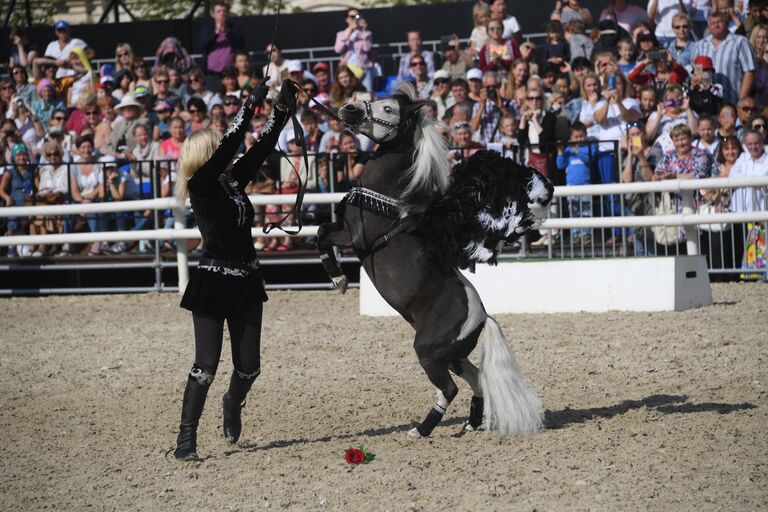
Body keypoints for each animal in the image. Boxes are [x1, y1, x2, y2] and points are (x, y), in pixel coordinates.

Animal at [316, 83, 556, 436]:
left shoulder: (356, 239)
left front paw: (339, 279)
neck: (387, 200)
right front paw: (338, 278)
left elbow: (321, 233)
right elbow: (321, 229)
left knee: (450, 389)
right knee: (476, 379)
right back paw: (471, 422)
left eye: (389, 109)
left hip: (429, 353)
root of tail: (483, 317)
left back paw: (423, 429)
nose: (349, 109)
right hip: (452, 356)